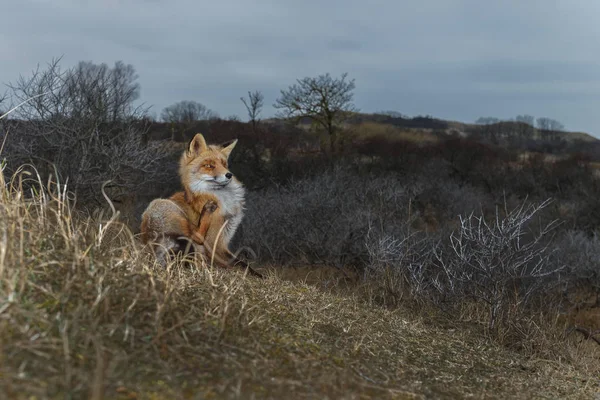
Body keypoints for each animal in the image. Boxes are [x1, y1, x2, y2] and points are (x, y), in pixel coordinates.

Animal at [142, 133, 262, 276]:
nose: (229, 175)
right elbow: (240, 263)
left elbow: (242, 263)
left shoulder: (226, 235)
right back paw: (207, 210)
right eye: (209, 166)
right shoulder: (214, 241)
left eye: (224, 164)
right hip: (163, 205)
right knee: (197, 236)